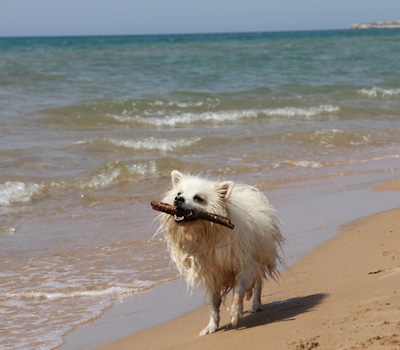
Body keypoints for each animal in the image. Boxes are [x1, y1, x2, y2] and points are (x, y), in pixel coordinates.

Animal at [156, 171, 284, 334]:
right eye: (179, 193)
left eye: (198, 198)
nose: (178, 199)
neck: (207, 232)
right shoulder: (210, 273)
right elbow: (214, 301)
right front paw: (212, 326)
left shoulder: (246, 265)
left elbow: (239, 290)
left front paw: (236, 312)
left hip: (260, 256)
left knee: (258, 283)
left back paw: (256, 304)